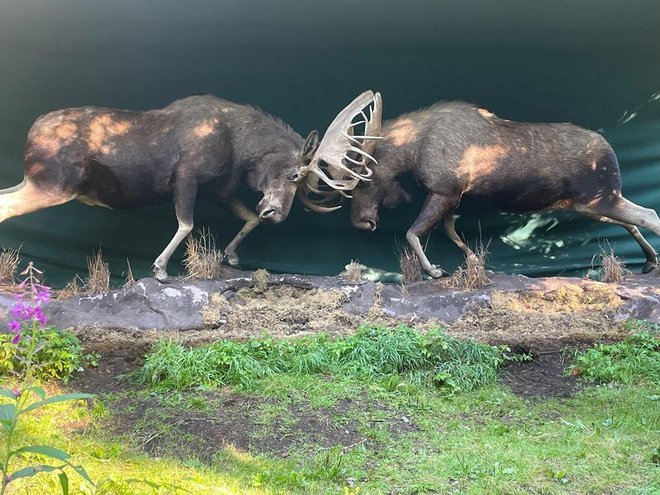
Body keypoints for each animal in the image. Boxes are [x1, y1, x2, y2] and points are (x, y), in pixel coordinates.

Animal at [0, 91, 382, 280]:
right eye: (295, 176)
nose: (275, 213)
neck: (242, 150)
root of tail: (31, 132)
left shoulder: (221, 190)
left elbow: (248, 219)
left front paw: (232, 256)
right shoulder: (186, 178)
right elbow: (186, 223)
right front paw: (160, 269)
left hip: (33, 181)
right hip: (51, 185)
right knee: (7, 208)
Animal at [348, 102, 656, 278]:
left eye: (363, 178)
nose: (361, 222)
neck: (411, 153)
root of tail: (610, 151)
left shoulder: (444, 191)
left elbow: (412, 232)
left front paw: (434, 270)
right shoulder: (452, 198)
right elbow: (449, 232)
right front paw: (473, 263)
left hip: (600, 200)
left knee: (648, 215)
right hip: (593, 204)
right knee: (633, 222)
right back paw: (649, 261)